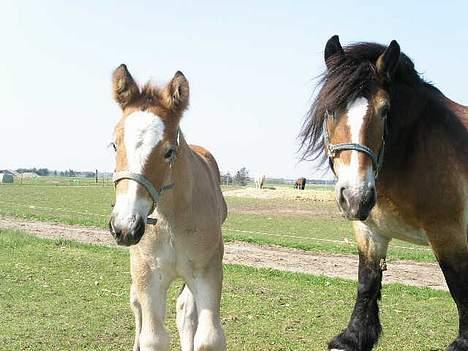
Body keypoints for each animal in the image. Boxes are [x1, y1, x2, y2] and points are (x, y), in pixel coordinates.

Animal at [109, 65, 228, 351]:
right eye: (114, 144)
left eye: (169, 151)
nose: (125, 227)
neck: (169, 219)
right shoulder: (148, 274)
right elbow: (153, 338)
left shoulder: (207, 270)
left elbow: (208, 337)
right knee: (136, 305)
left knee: (185, 310)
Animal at [300, 36, 468, 351]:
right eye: (330, 109)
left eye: (385, 110)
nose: (356, 197)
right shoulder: (369, 232)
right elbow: (367, 280)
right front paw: (353, 337)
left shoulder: (448, 235)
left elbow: (459, 286)